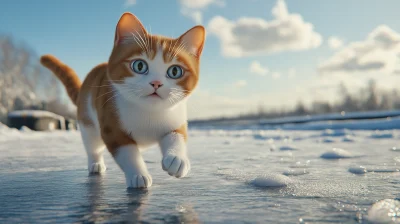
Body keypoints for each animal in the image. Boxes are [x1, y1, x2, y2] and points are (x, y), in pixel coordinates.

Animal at [40, 11, 205, 187]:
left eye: (175, 71)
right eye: (139, 66)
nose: (156, 83)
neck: (148, 112)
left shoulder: (175, 117)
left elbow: (176, 136)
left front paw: (177, 158)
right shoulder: (112, 127)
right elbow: (128, 153)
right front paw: (138, 175)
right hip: (88, 121)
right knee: (92, 145)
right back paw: (95, 163)